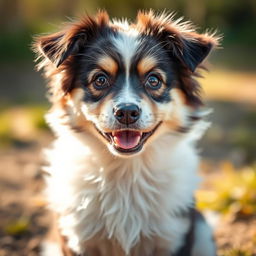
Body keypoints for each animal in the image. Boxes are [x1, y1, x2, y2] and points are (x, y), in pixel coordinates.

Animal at [33, 10, 218, 256]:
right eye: (100, 79)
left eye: (154, 80)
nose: (127, 112)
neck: (126, 168)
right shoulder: (76, 237)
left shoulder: (175, 235)